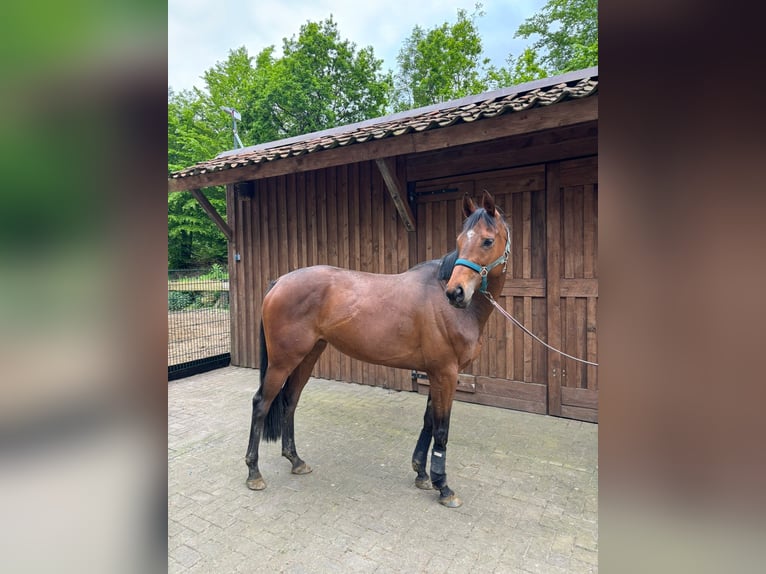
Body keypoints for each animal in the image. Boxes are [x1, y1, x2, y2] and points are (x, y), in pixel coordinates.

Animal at [246, 190, 510, 508]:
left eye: (487, 240)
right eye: (459, 241)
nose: (455, 293)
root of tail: (279, 282)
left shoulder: (436, 373)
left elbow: (428, 422)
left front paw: (422, 475)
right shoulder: (446, 374)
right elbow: (442, 429)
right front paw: (444, 487)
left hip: (307, 357)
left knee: (289, 401)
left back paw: (296, 461)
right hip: (282, 362)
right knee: (261, 403)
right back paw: (254, 473)